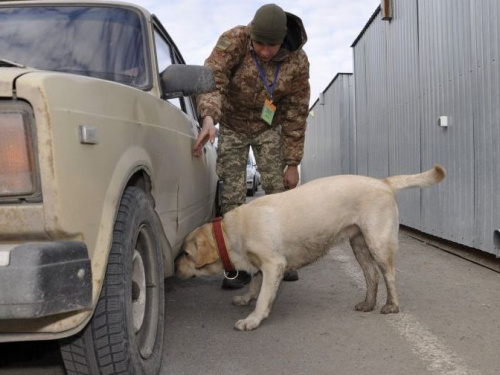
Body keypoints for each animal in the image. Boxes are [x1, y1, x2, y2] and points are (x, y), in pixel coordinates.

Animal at [176, 166, 446, 330]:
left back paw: (391, 306)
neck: (229, 231)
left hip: (378, 242)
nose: (174, 267)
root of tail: (383, 182)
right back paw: (368, 303)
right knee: (372, 276)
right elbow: (254, 284)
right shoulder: (261, 266)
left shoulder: (274, 264)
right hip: (359, 244)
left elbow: (263, 296)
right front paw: (246, 297)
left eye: (186, 254)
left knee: (389, 275)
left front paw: (253, 319)